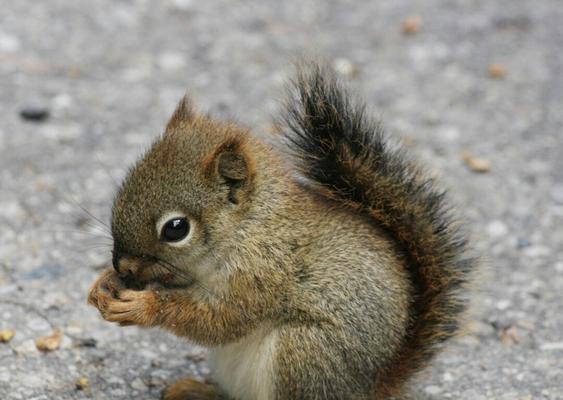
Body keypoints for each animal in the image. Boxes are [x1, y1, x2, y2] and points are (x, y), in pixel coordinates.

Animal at [88, 63, 476, 400]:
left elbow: (221, 320)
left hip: (304, 353)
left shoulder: (263, 273)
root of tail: (369, 390)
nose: (123, 266)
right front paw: (103, 285)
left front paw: (142, 307)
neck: (249, 227)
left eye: (176, 229)